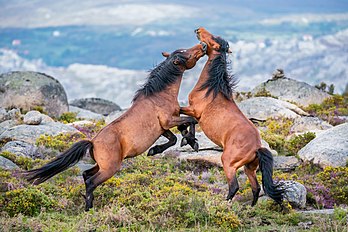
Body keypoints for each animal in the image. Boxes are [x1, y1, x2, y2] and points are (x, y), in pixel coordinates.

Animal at [25, 42, 208, 211]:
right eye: (185, 52)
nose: (203, 45)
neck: (160, 96)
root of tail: (92, 142)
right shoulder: (168, 121)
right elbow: (191, 121)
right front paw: (191, 141)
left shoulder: (162, 128)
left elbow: (175, 137)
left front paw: (157, 149)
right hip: (109, 169)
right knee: (91, 181)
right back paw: (89, 209)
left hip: (101, 166)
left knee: (85, 174)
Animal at [179, 28, 282, 206]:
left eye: (213, 38)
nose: (198, 30)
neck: (211, 89)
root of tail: (257, 148)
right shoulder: (195, 114)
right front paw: (190, 141)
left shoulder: (194, 111)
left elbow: (183, 118)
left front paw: (189, 141)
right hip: (249, 168)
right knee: (256, 188)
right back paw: (251, 208)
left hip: (228, 162)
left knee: (234, 186)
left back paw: (224, 204)